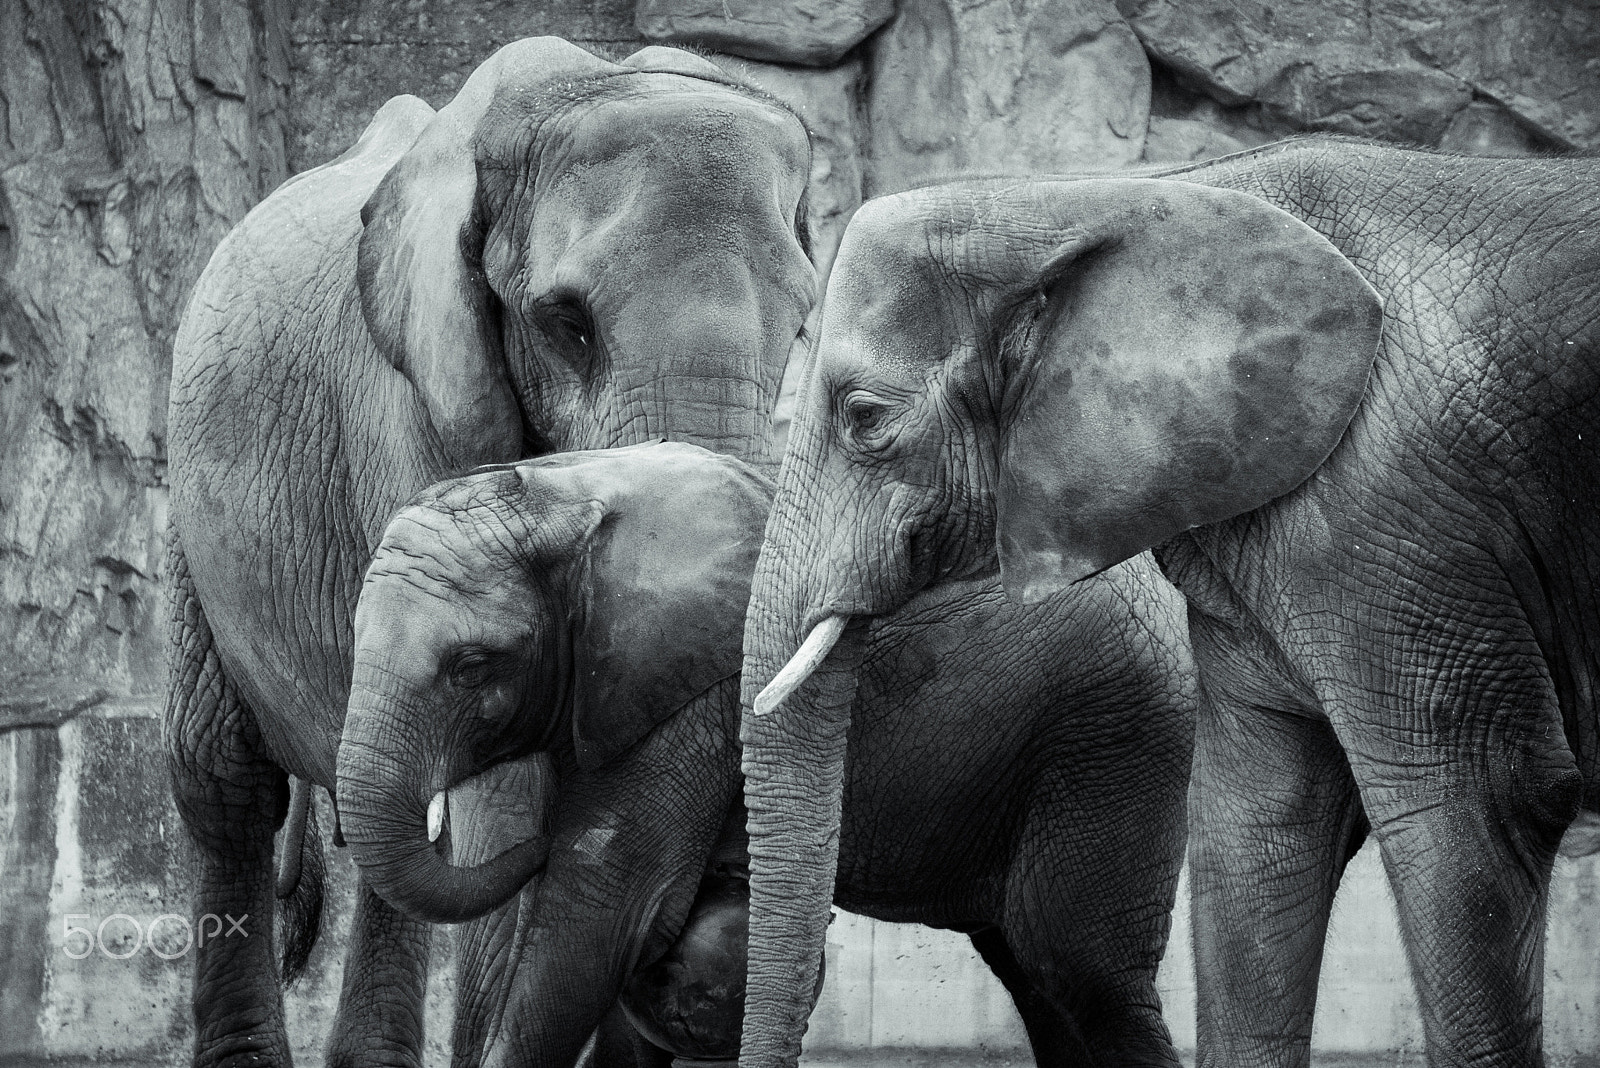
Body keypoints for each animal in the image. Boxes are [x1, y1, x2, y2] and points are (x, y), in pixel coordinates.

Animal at [163, 36, 814, 1068]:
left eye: (801, 325)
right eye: (567, 323)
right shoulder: (412, 401)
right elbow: (510, 793)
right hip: (189, 509)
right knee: (226, 779)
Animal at [339, 441, 1195, 1068]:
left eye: (471, 666)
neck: (565, 490)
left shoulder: (694, 693)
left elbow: (603, 910)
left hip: (1114, 735)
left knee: (1085, 974)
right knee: (1033, 972)